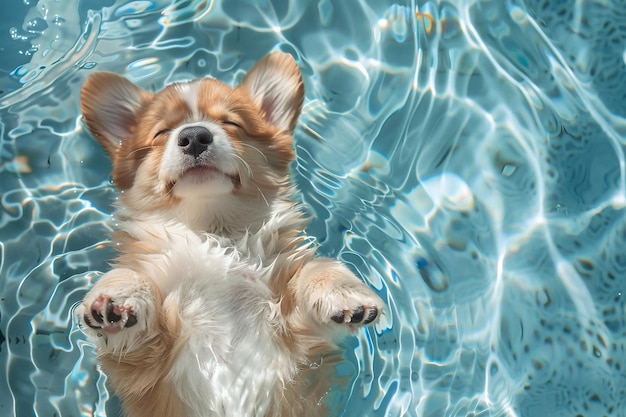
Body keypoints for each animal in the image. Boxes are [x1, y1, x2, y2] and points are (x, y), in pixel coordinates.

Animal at [77, 52, 380, 416]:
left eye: (231, 124)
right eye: (162, 132)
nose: (195, 135)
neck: (213, 231)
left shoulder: (301, 344)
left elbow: (315, 271)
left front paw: (343, 293)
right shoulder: (144, 366)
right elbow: (133, 281)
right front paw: (116, 300)